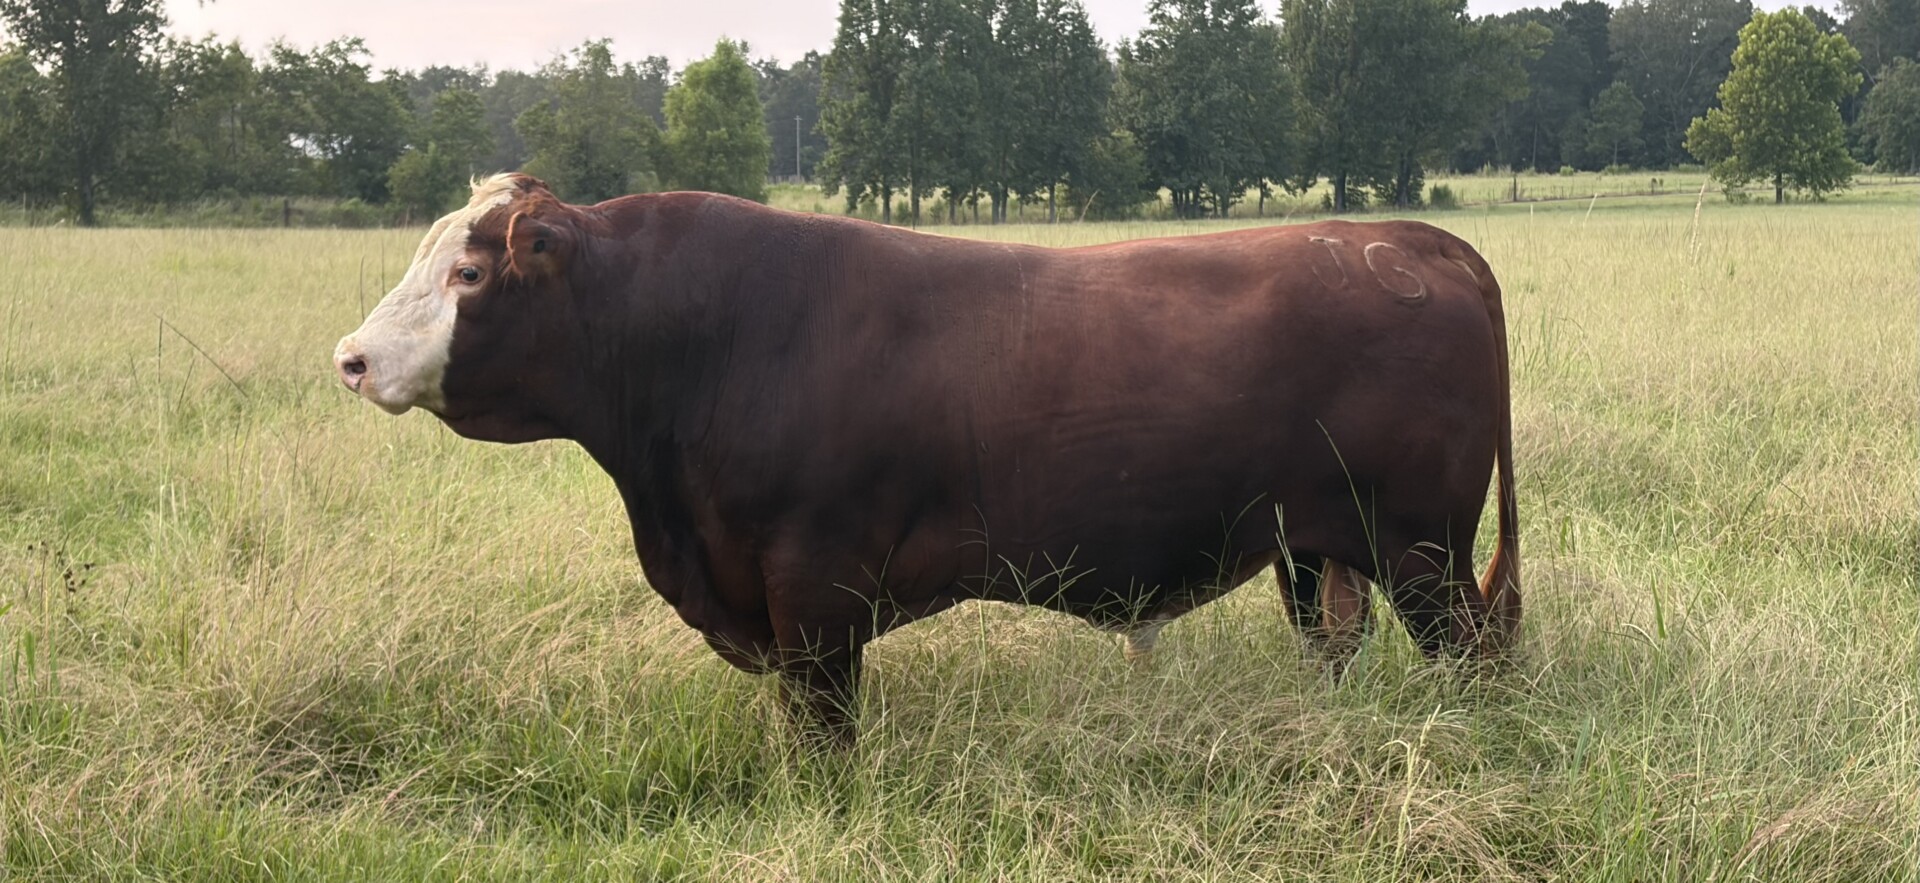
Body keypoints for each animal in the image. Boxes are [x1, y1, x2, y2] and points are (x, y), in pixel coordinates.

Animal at [334, 174, 1521, 747]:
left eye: (470, 274)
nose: (350, 358)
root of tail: (1410, 241)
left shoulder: (812, 585)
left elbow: (822, 731)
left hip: (1421, 550)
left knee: (1473, 656)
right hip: (1319, 550)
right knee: (1340, 644)